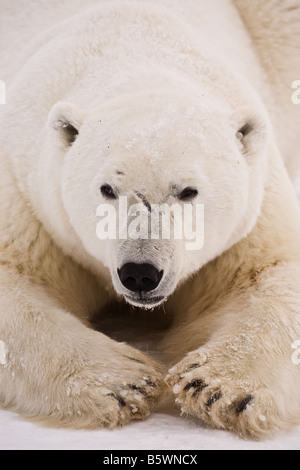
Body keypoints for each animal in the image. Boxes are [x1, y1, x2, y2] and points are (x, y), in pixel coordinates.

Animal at [1, 0, 300, 440]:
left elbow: (270, 273)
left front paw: (218, 388)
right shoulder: (32, 198)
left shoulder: (255, 205)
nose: (140, 272)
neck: (134, 51)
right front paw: (124, 383)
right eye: (107, 188)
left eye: (188, 191)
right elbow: (15, 278)